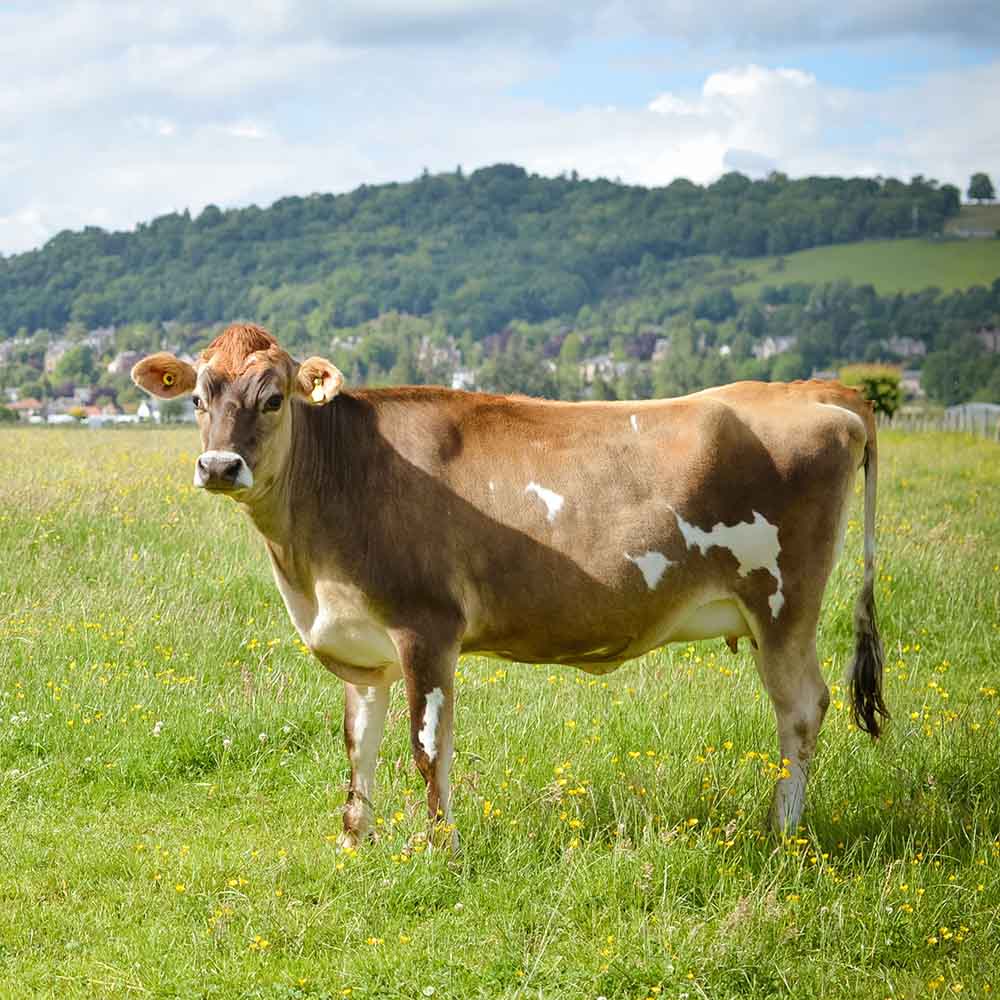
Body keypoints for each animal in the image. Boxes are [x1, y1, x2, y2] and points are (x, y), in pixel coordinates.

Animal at [132, 323, 887, 847]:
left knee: (801, 709)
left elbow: (427, 746)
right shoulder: (360, 644)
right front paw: (353, 842)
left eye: (272, 400)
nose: (219, 465)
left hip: (784, 605)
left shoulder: (426, 627)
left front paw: (440, 849)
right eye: (197, 398)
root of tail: (820, 392)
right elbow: (358, 741)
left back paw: (781, 833)